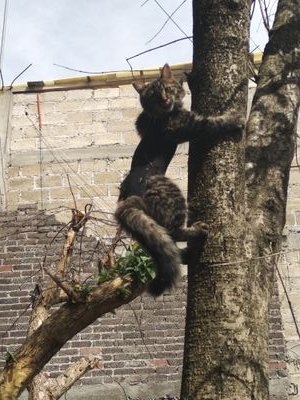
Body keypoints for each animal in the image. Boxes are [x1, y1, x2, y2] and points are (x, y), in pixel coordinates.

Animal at [115, 64, 241, 296]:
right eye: (153, 96)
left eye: (166, 89)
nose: (165, 99)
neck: (163, 114)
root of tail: (127, 197)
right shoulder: (190, 125)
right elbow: (213, 122)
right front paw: (234, 118)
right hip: (171, 194)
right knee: (174, 232)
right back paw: (197, 230)